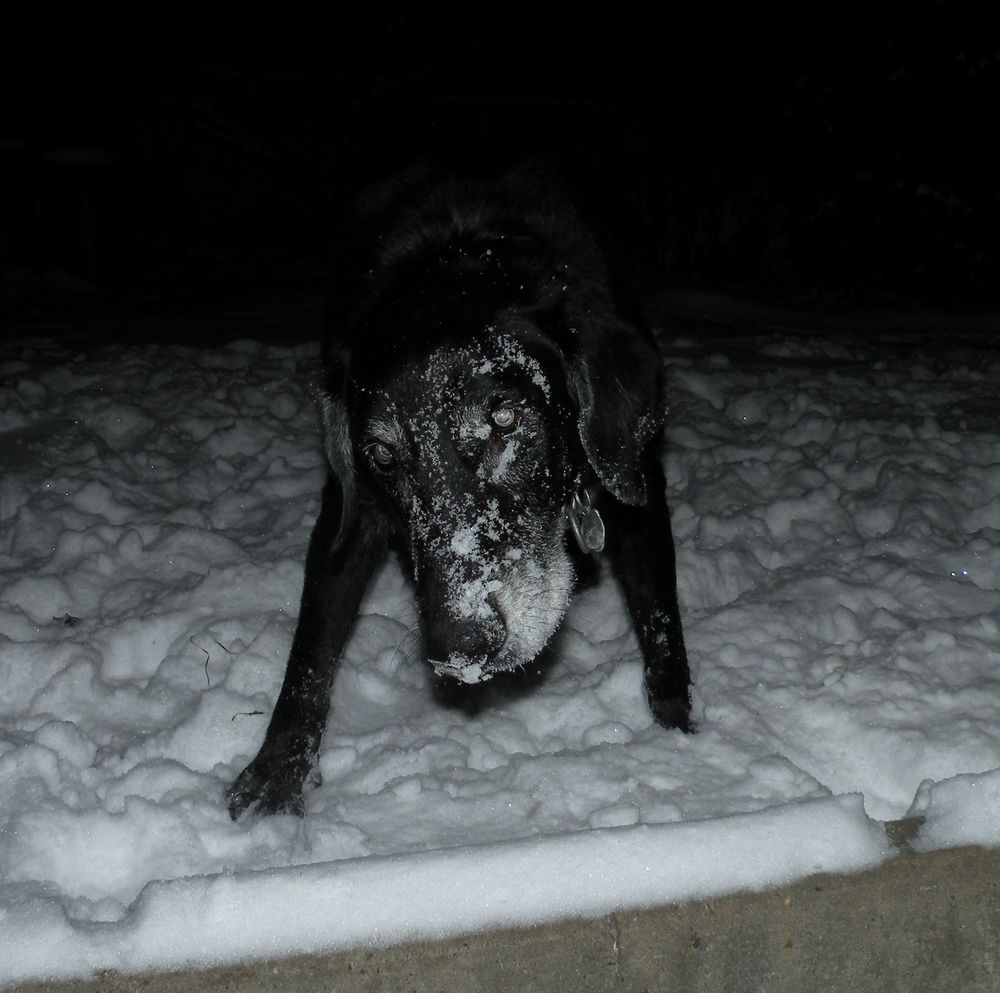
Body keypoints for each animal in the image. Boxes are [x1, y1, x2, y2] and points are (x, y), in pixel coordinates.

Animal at [229, 163, 692, 812]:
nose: (461, 647)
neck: (465, 243)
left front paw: (680, 738)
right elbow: (312, 649)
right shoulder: (350, 509)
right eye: (382, 455)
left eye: (505, 419)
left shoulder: (635, 478)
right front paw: (277, 771)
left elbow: (659, 620)